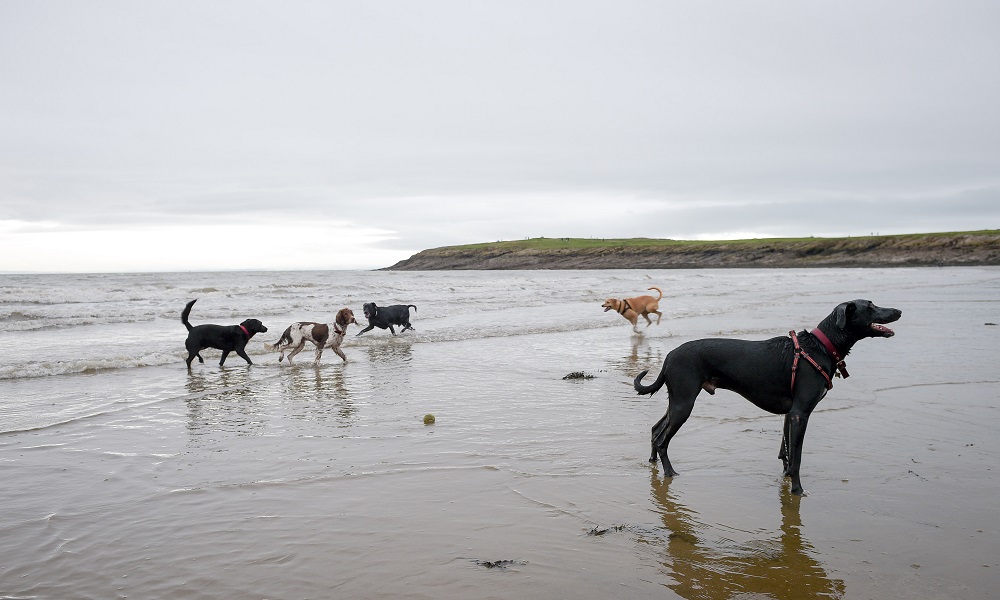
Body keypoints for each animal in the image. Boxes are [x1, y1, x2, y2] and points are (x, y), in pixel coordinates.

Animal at [636, 300, 904, 496]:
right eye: (870, 306)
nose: (899, 311)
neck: (819, 346)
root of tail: (669, 356)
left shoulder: (790, 414)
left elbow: (786, 452)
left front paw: (786, 481)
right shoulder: (800, 414)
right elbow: (796, 457)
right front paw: (797, 490)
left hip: (678, 401)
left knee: (656, 429)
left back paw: (653, 463)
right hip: (684, 403)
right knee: (662, 440)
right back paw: (670, 472)